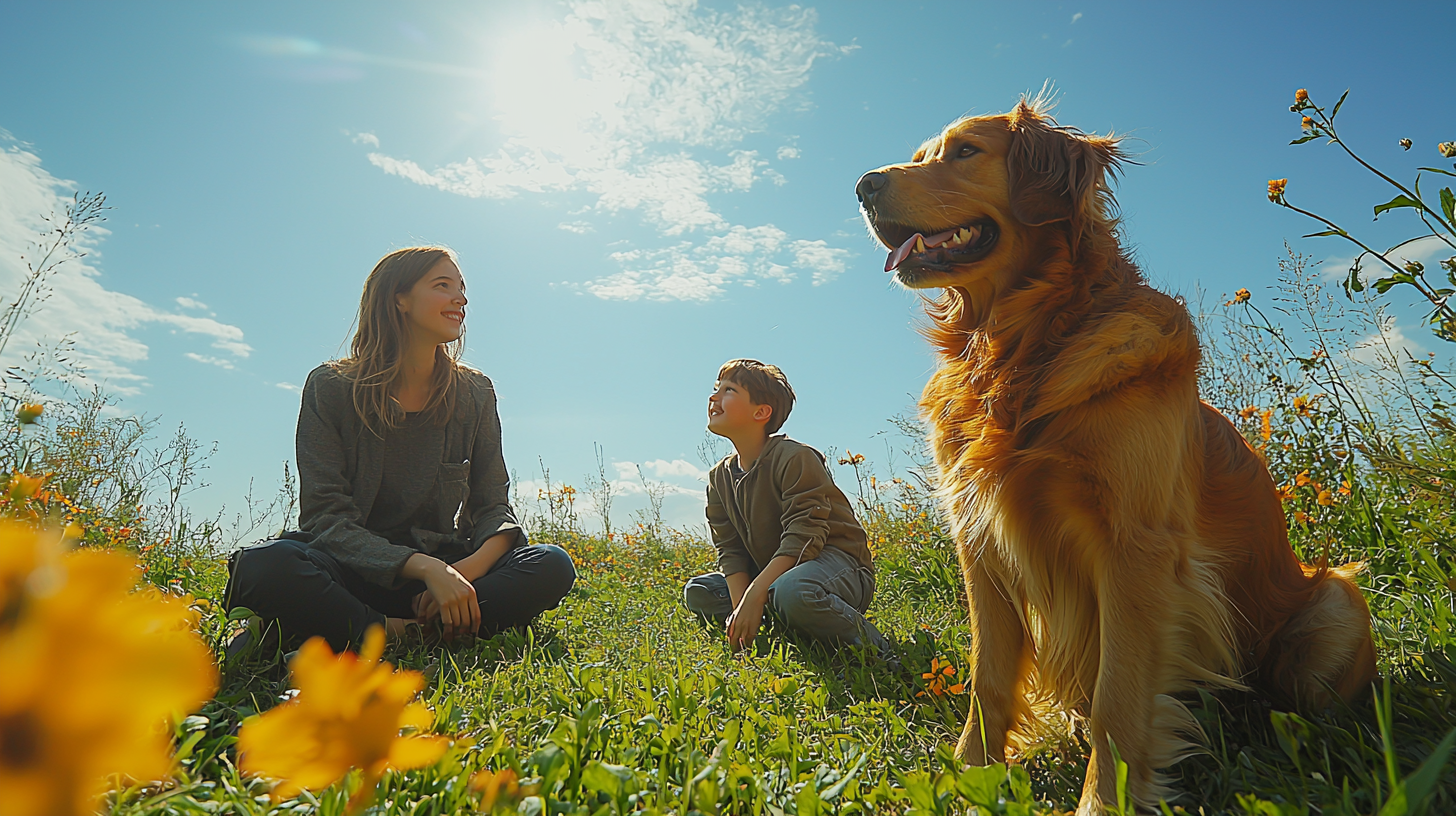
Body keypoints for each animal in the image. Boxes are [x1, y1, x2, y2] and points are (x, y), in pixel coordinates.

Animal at [850, 99, 1374, 810]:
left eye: (964, 152)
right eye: (922, 155)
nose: (862, 186)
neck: (1022, 347)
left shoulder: (1135, 548)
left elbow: (1116, 699)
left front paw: (1105, 799)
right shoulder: (979, 537)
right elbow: (989, 678)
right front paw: (967, 777)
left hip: (1337, 600)